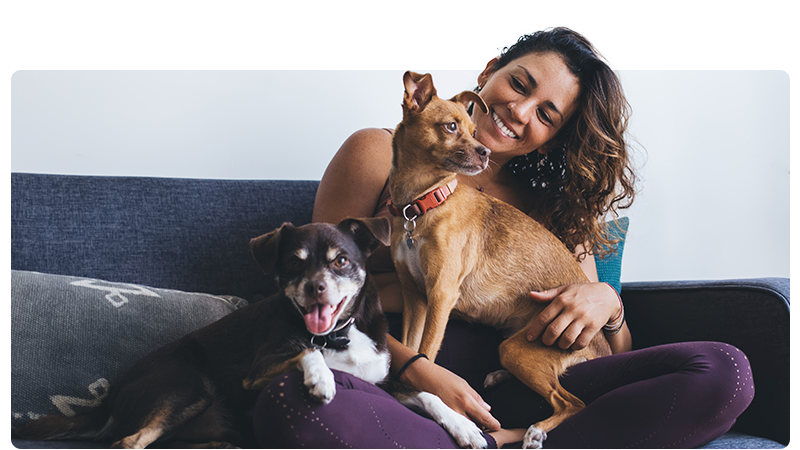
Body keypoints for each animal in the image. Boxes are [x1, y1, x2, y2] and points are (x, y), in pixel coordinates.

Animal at [390, 72, 612, 448]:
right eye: (451, 126)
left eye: (473, 130)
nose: (486, 152)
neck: (424, 202)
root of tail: (602, 347)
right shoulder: (415, 297)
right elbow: (411, 349)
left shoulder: (440, 295)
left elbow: (427, 354)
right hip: (515, 345)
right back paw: (497, 377)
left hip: (520, 349)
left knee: (572, 401)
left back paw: (536, 431)